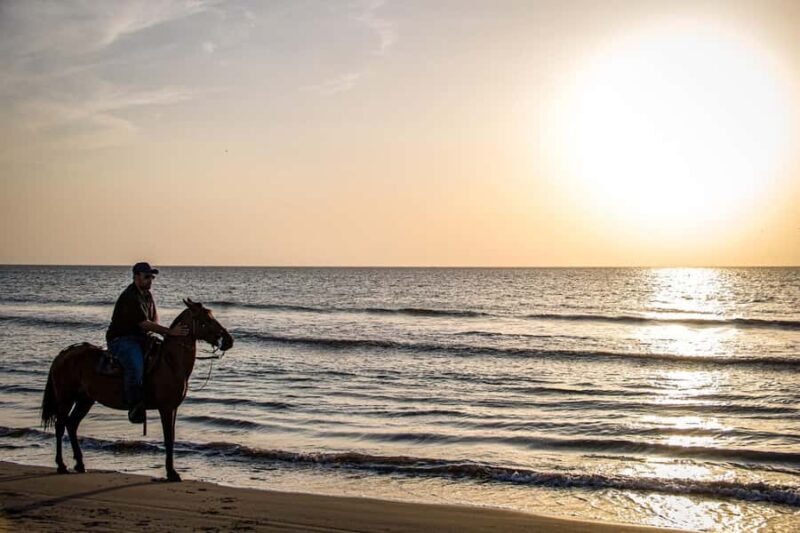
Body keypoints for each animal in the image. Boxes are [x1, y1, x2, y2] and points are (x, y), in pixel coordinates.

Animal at [40, 298, 233, 482]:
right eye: (206, 319)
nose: (229, 340)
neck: (170, 362)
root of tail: (62, 355)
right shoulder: (166, 408)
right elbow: (168, 439)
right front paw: (171, 473)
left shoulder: (173, 408)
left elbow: (171, 437)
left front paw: (171, 471)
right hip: (66, 398)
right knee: (60, 425)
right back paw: (61, 465)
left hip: (85, 399)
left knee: (72, 425)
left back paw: (80, 464)